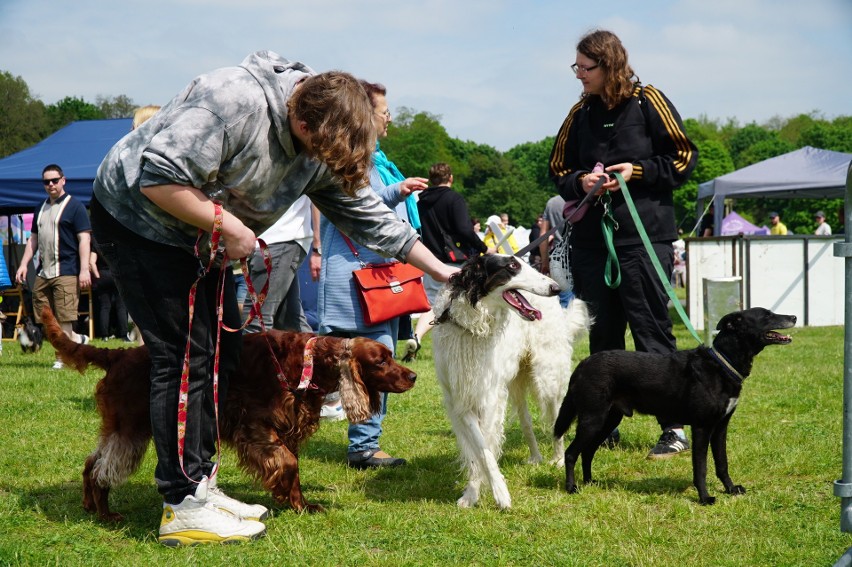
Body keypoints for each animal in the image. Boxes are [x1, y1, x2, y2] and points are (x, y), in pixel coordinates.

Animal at [430, 255, 588, 508]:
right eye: (512, 267)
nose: (555, 288)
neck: (473, 327)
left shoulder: (488, 398)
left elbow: (485, 449)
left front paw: (496, 493)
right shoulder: (461, 400)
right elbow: (478, 451)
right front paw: (472, 494)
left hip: (547, 378)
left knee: (556, 421)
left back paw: (558, 459)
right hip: (515, 385)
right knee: (527, 422)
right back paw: (535, 457)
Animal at [556, 308, 796, 504]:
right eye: (767, 315)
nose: (794, 317)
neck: (722, 363)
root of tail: (582, 364)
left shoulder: (721, 427)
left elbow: (722, 463)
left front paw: (730, 489)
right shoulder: (702, 428)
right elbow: (701, 467)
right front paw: (705, 498)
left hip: (608, 420)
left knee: (587, 452)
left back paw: (590, 482)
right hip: (592, 419)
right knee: (571, 453)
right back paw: (572, 487)